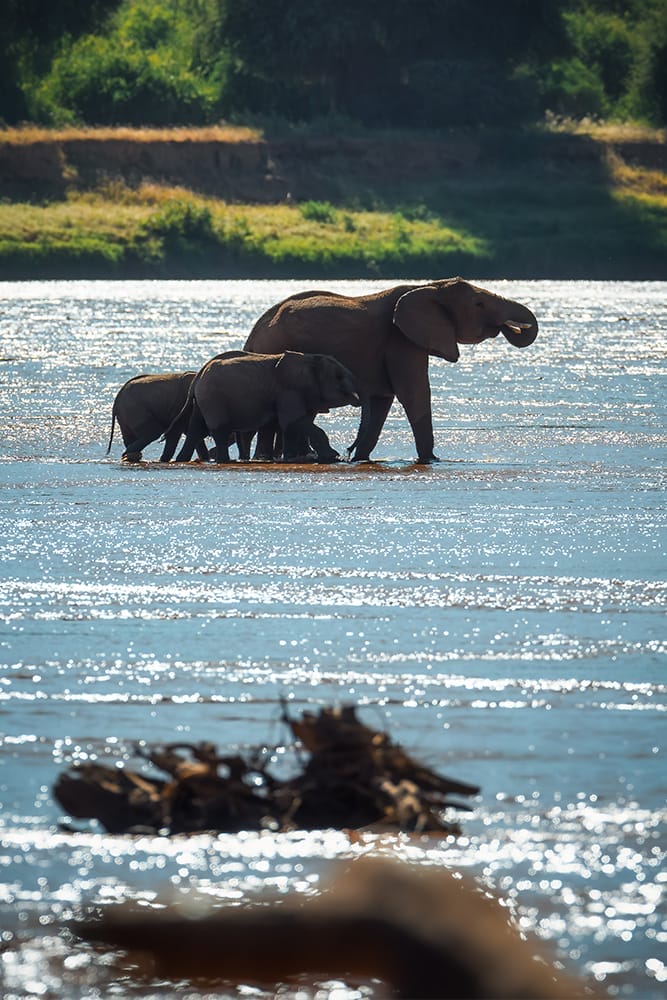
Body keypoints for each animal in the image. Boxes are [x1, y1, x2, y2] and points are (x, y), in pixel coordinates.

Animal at [174, 350, 360, 462]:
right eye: (338, 377)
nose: (347, 454)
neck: (309, 359)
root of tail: (198, 376)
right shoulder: (288, 390)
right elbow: (293, 421)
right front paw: (332, 457)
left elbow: (290, 425)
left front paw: (290, 459)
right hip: (213, 399)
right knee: (218, 430)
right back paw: (224, 461)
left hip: (203, 400)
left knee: (196, 429)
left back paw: (182, 460)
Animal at [243, 278, 540, 464]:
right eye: (479, 304)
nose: (511, 327)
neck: (429, 286)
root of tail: (255, 331)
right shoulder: (401, 339)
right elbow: (414, 393)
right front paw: (430, 460)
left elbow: (383, 401)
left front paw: (360, 459)